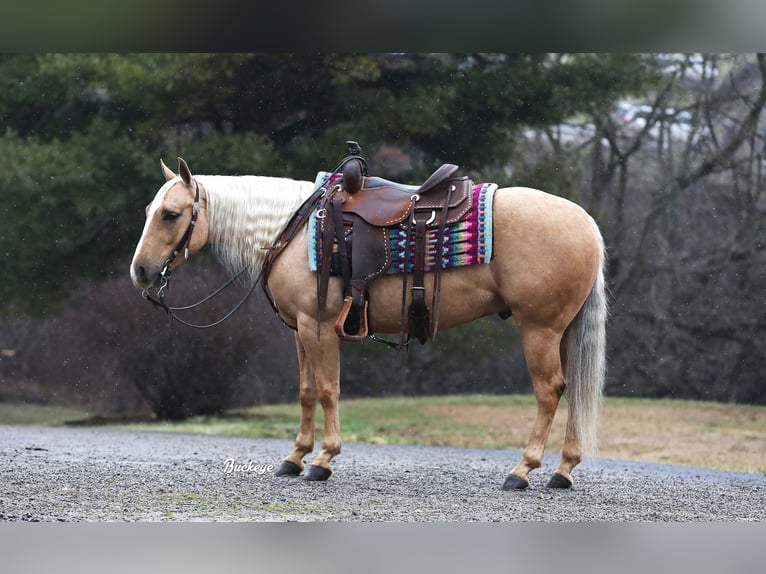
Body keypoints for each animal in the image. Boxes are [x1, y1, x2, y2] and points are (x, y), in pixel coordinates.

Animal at [134, 158, 612, 490]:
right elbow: (306, 391)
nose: (140, 271)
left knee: (549, 391)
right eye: (149, 209)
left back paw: (523, 470)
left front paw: (323, 460)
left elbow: (328, 390)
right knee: (572, 391)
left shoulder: (318, 326)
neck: (293, 228)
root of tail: (586, 221)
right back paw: (563, 471)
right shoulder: (300, 332)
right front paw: (294, 458)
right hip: (563, 331)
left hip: (539, 329)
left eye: (171, 214)